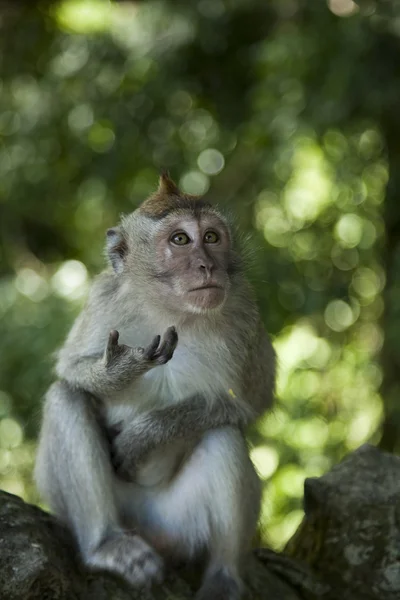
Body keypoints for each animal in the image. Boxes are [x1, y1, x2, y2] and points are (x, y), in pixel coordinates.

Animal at [34, 173, 276, 600]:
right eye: (180, 239)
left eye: (211, 237)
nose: (207, 265)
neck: (170, 309)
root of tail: (151, 533)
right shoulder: (103, 299)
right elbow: (70, 370)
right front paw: (121, 368)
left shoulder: (245, 314)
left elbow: (247, 404)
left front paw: (145, 437)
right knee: (66, 398)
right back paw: (107, 544)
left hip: (179, 523)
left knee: (224, 436)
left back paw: (224, 576)